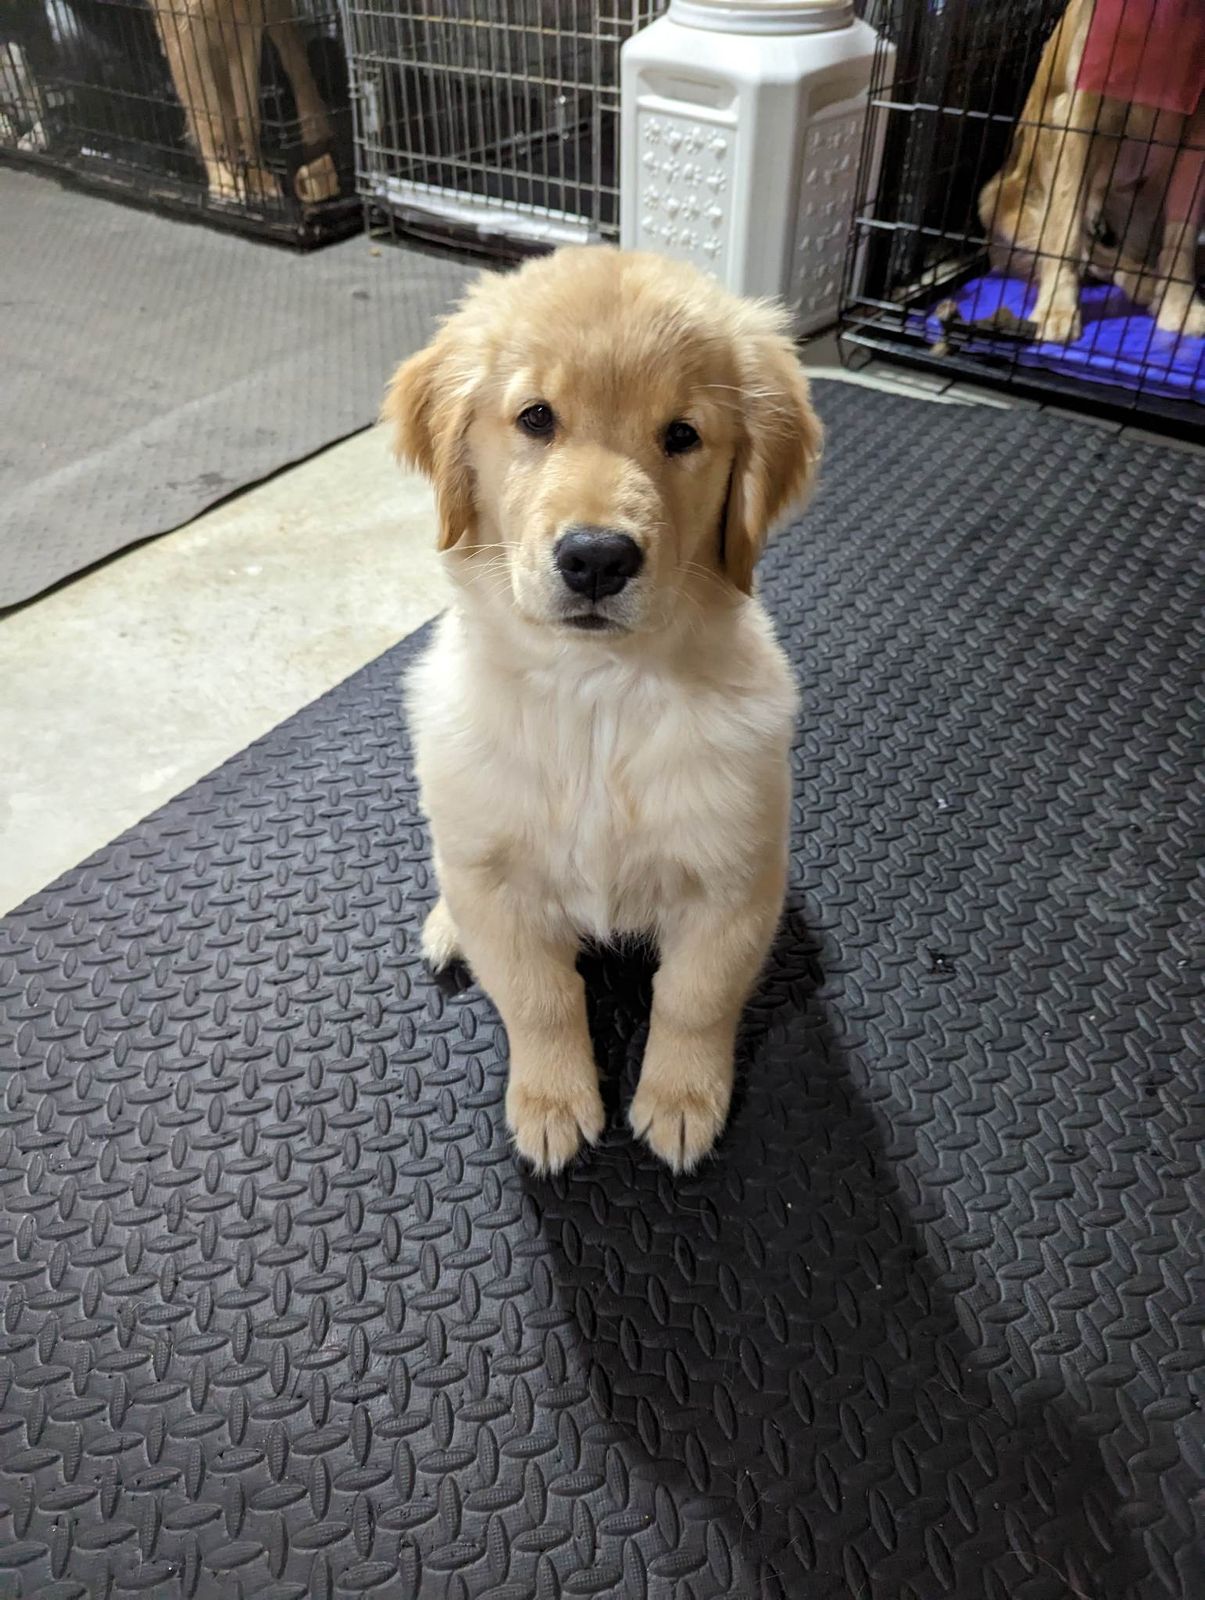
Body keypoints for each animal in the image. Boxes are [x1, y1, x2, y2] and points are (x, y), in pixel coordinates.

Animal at [384, 248, 821, 1174]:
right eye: (536, 418)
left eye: (682, 435)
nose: (595, 558)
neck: (596, 693)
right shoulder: (496, 886)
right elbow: (539, 998)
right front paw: (551, 1101)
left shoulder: (733, 881)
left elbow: (694, 997)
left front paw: (682, 1100)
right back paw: (445, 927)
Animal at [979, 0, 1205, 343]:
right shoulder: (1078, 112)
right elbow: (1066, 232)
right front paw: (1056, 309)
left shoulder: (1198, 127)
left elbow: (1182, 237)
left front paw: (1180, 307)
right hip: (995, 201)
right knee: (1087, 251)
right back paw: (1145, 283)